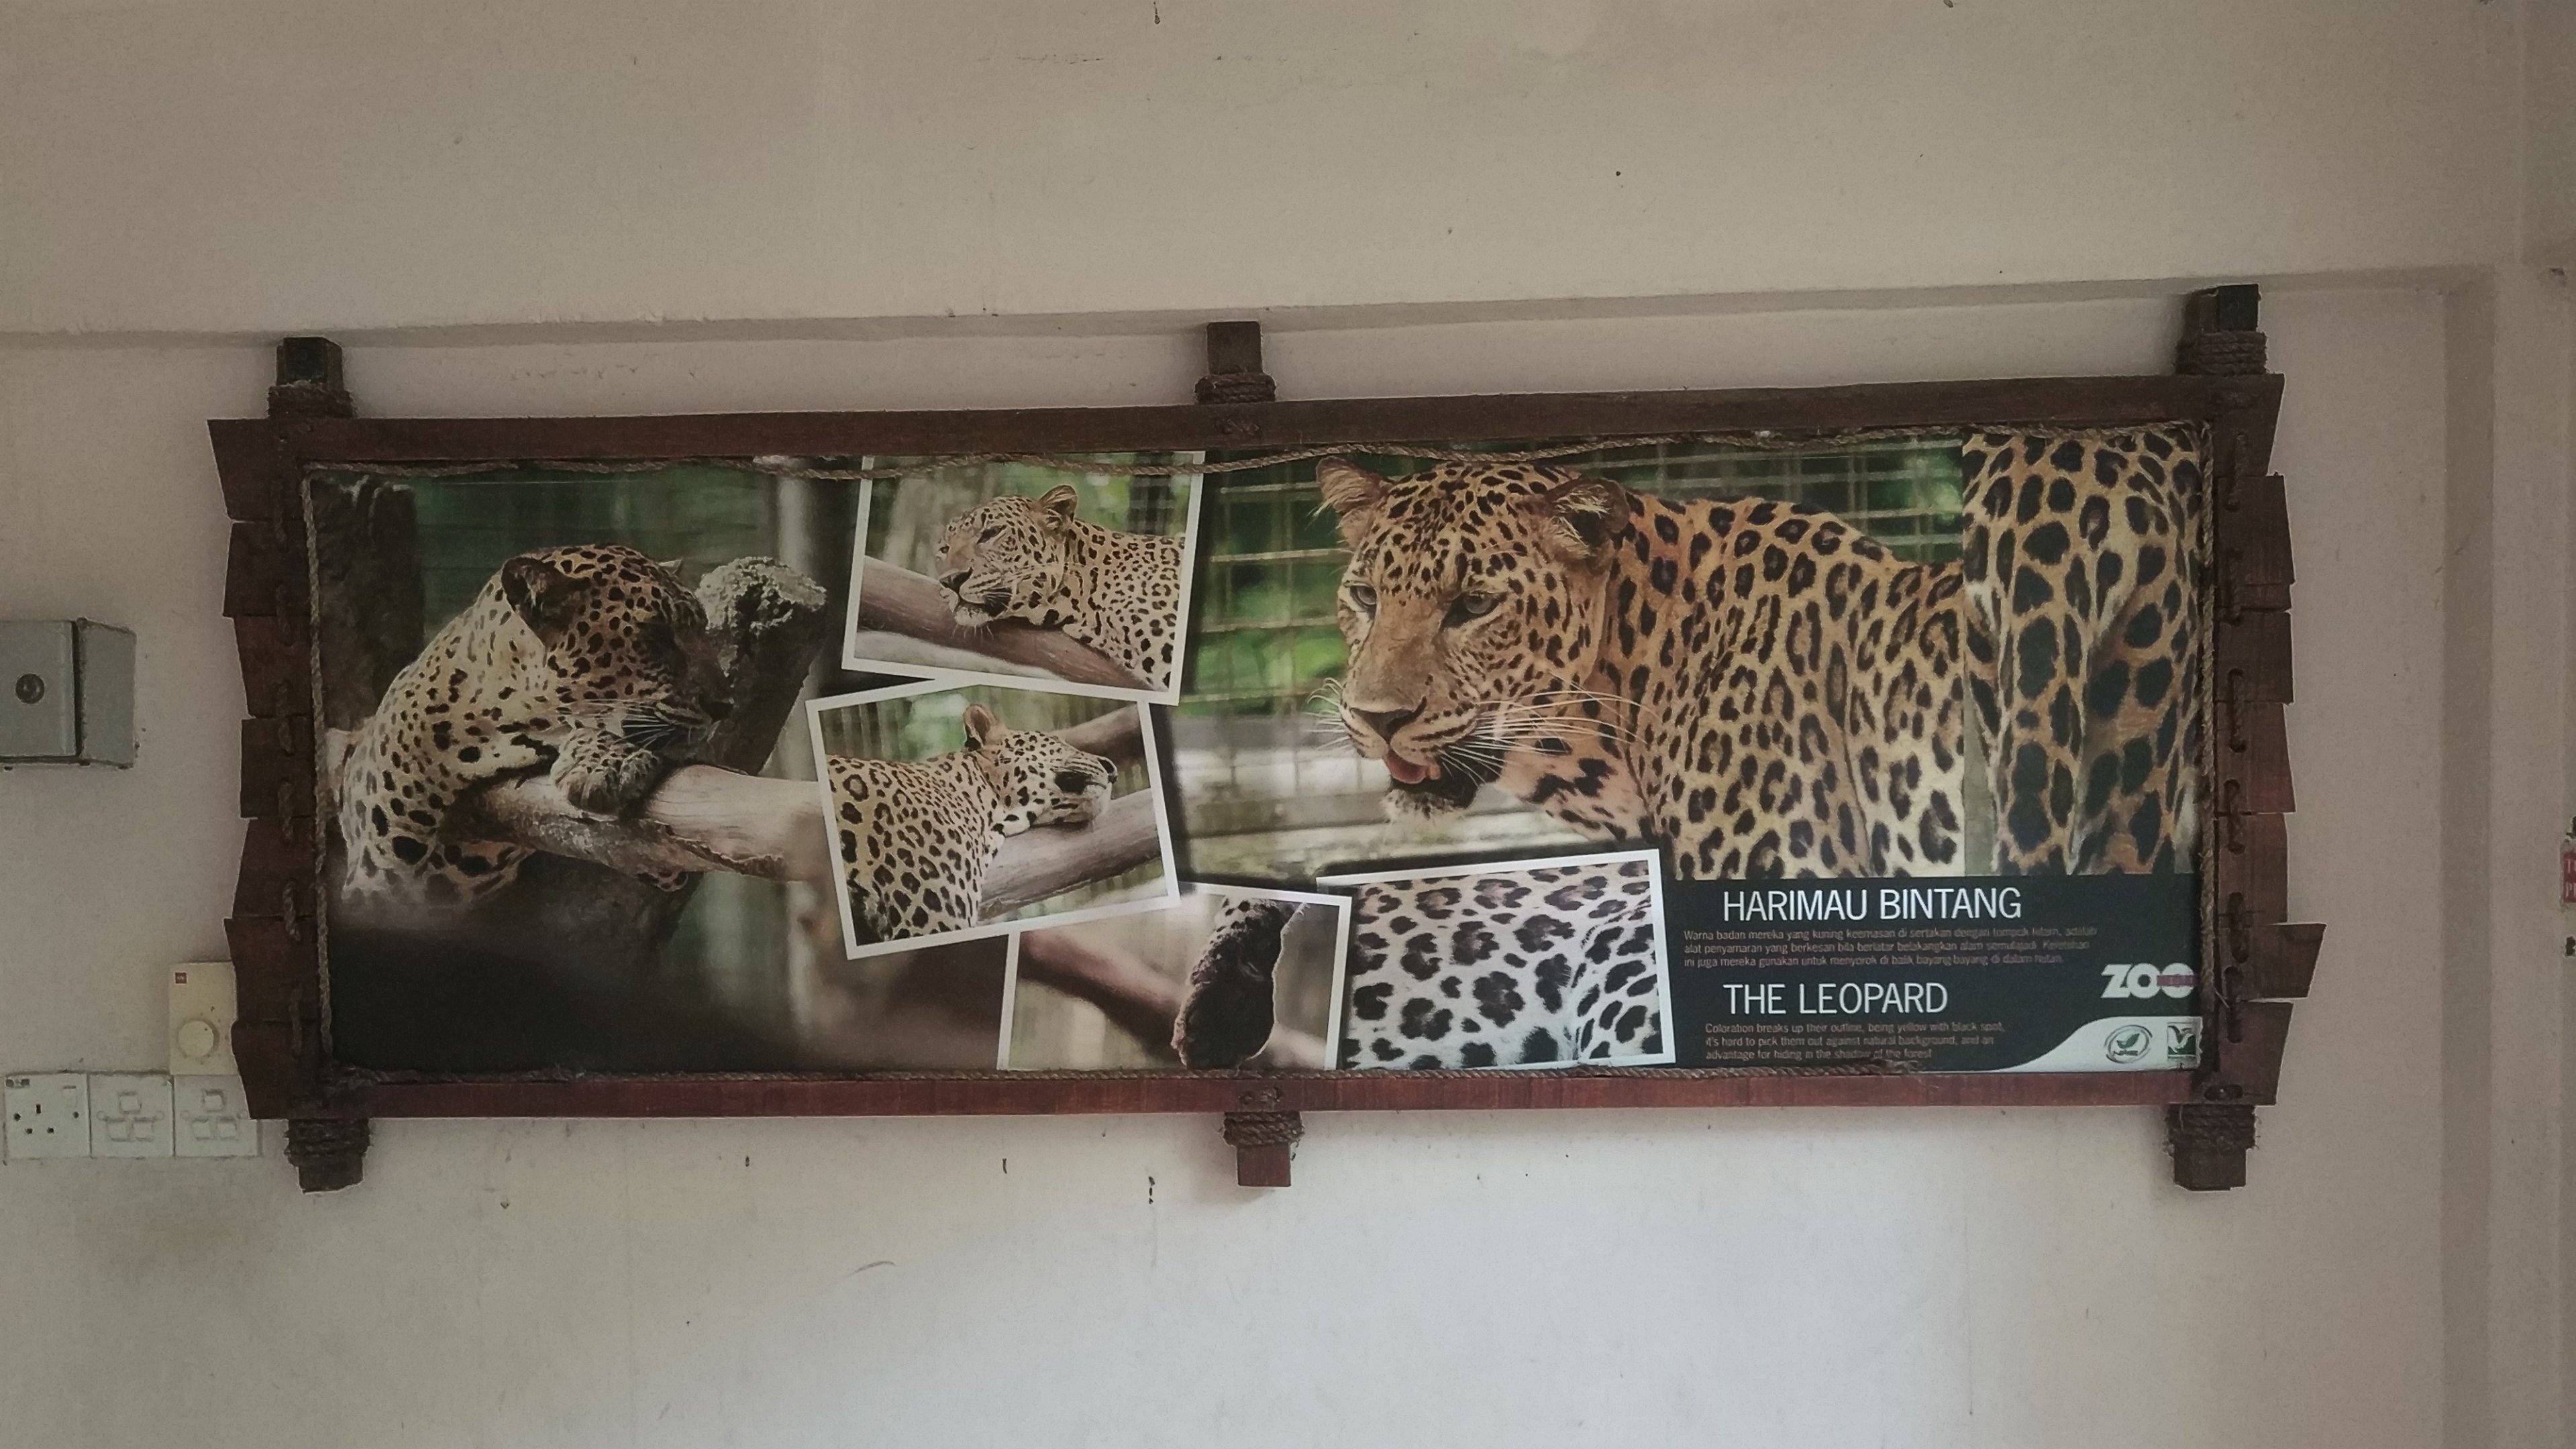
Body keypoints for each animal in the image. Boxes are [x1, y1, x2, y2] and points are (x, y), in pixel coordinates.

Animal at [335, 544, 731, 911]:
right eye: (657, 636)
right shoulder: (380, 875)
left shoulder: (660, 864)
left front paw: (604, 762)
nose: (724, 707)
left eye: (702, 631)